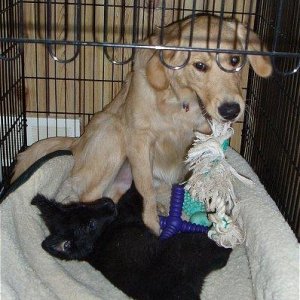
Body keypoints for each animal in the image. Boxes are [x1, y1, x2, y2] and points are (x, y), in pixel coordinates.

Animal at [12, 15, 272, 233]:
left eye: (235, 60)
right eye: (199, 66)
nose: (231, 110)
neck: (179, 103)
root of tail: (77, 142)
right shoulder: (139, 141)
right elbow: (146, 191)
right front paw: (153, 226)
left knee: (112, 197)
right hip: (113, 138)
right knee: (85, 198)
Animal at [31, 185, 231, 300]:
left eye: (82, 205)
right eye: (90, 224)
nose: (109, 202)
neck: (99, 241)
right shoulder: (129, 210)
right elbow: (135, 192)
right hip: (190, 244)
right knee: (222, 253)